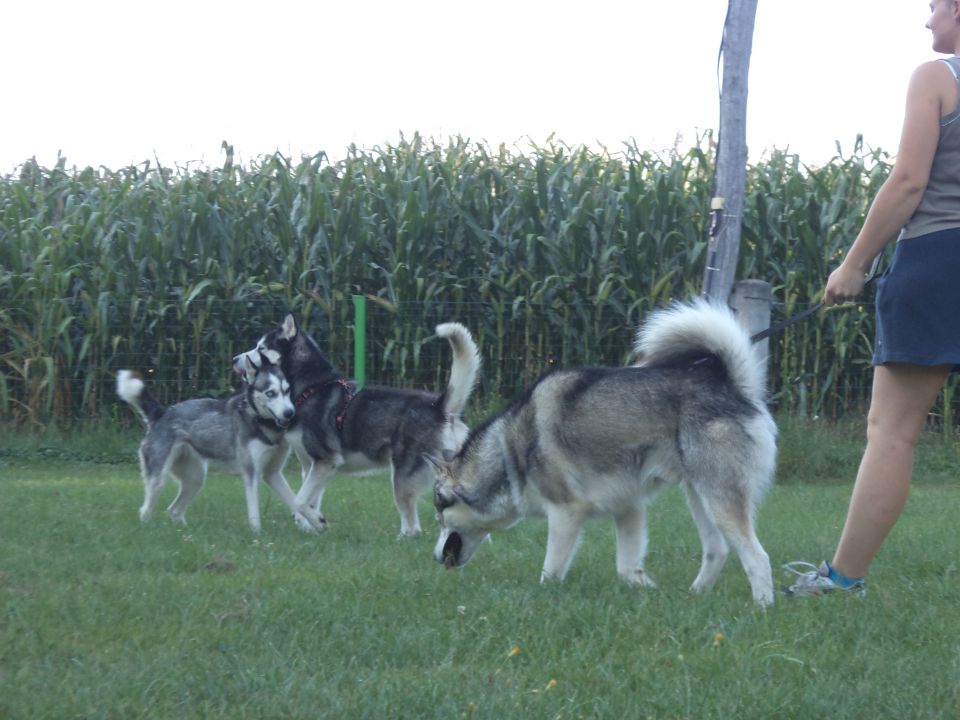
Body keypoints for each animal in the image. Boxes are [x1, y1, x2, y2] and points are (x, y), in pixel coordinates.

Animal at [117, 358, 320, 536]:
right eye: (271, 393)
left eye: (287, 391)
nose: (289, 413)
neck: (261, 422)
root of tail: (162, 411)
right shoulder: (252, 474)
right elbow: (254, 511)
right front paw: (257, 534)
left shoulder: (273, 473)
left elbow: (296, 501)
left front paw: (311, 526)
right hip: (158, 479)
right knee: (146, 510)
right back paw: (147, 529)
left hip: (195, 479)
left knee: (174, 510)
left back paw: (187, 534)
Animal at [233, 316, 480, 536]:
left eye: (261, 347)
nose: (234, 359)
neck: (311, 388)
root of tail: (439, 406)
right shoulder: (311, 466)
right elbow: (308, 501)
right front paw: (311, 529)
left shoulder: (326, 461)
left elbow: (299, 500)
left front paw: (317, 522)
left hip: (401, 479)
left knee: (413, 527)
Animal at [436, 300, 780, 604]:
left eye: (439, 510)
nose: (435, 557)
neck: (509, 449)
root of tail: (733, 388)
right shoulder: (629, 507)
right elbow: (626, 568)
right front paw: (646, 589)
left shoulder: (565, 513)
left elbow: (551, 570)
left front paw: (543, 596)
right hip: (698, 496)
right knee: (717, 551)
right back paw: (693, 597)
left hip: (719, 500)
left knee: (758, 557)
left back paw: (763, 607)